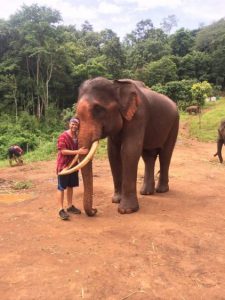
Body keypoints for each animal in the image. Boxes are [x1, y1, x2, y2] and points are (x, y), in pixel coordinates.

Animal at [59, 77, 179, 216]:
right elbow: (113, 153)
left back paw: (161, 190)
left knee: (165, 154)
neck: (116, 85)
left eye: (98, 109)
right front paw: (116, 200)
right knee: (148, 156)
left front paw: (126, 210)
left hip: (174, 123)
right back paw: (146, 192)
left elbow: (129, 151)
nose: (95, 210)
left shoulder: (138, 116)